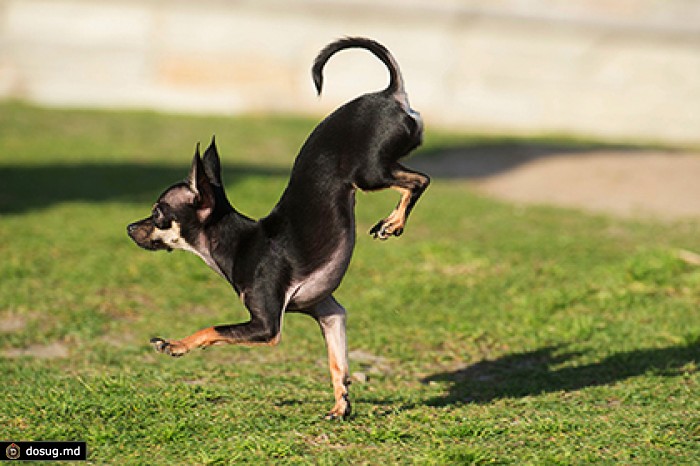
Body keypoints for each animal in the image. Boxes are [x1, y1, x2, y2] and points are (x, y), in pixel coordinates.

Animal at [129, 38, 430, 420]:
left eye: (157, 214)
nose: (129, 227)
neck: (238, 242)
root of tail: (390, 94)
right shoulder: (329, 312)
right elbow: (338, 365)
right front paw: (341, 405)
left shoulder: (266, 326)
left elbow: (212, 327)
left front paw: (174, 345)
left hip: (369, 173)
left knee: (420, 180)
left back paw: (392, 222)